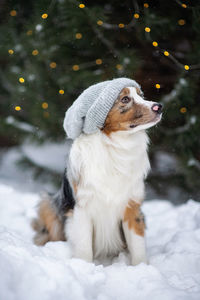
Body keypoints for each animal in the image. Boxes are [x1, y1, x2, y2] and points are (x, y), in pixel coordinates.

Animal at [31, 82, 162, 264]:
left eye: (141, 95)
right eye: (125, 99)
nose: (159, 106)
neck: (115, 145)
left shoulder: (132, 206)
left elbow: (138, 245)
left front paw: (141, 267)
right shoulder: (81, 208)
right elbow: (84, 247)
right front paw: (83, 266)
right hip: (48, 204)